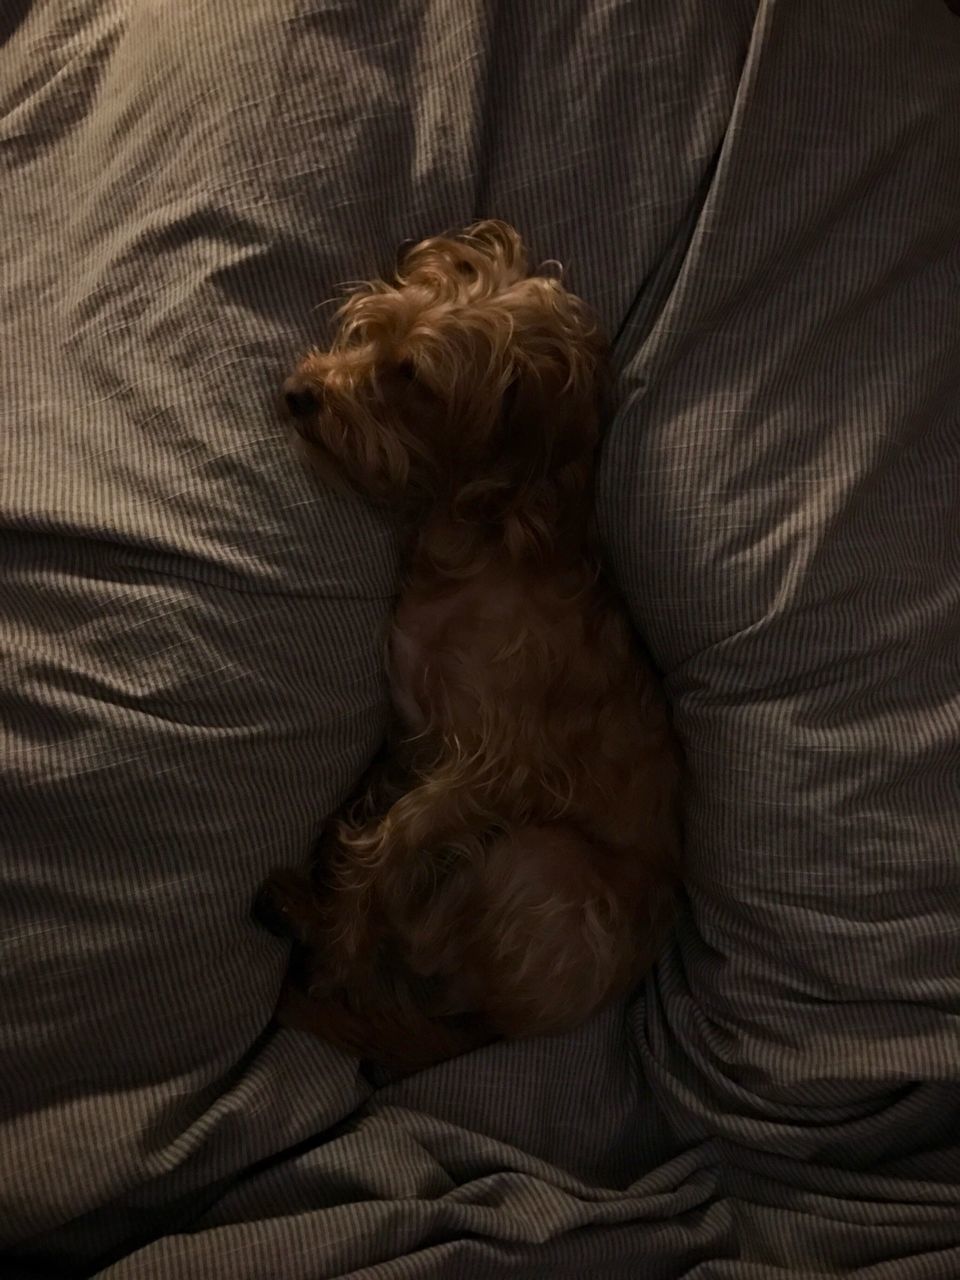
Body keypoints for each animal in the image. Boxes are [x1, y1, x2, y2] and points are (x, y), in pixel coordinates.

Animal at [259, 220, 686, 1070]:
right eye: (368, 328)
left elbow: (387, 846)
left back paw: (324, 939)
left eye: (414, 377)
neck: (477, 551)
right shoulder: (416, 737)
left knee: (411, 957)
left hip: (541, 864)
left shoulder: (496, 764)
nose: (299, 393)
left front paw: (344, 943)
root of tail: (505, 1029)